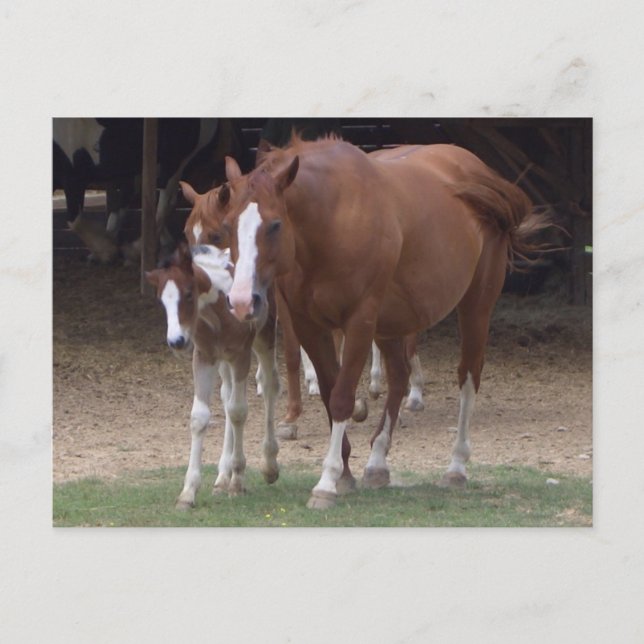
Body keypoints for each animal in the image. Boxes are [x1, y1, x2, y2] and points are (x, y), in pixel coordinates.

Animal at [145, 243, 280, 508]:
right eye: (161, 301)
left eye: (188, 294)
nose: (176, 342)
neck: (218, 313)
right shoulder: (204, 356)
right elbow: (200, 417)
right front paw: (188, 493)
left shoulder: (241, 355)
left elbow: (239, 412)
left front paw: (238, 481)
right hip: (223, 362)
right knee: (227, 396)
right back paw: (221, 478)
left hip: (264, 338)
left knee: (268, 385)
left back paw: (269, 465)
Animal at [218, 136, 547, 509]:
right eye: (227, 226)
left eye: (275, 225)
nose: (241, 301)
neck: (332, 220)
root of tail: (478, 171)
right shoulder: (308, 325)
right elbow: (330, 392)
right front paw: (345, 473)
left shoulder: (360, 321)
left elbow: (342, 398)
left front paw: (327, 481)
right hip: (393, 323)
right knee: (400, 378)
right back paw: (377, 462)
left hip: (476, 307)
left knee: (468, 376)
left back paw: (456, 467)